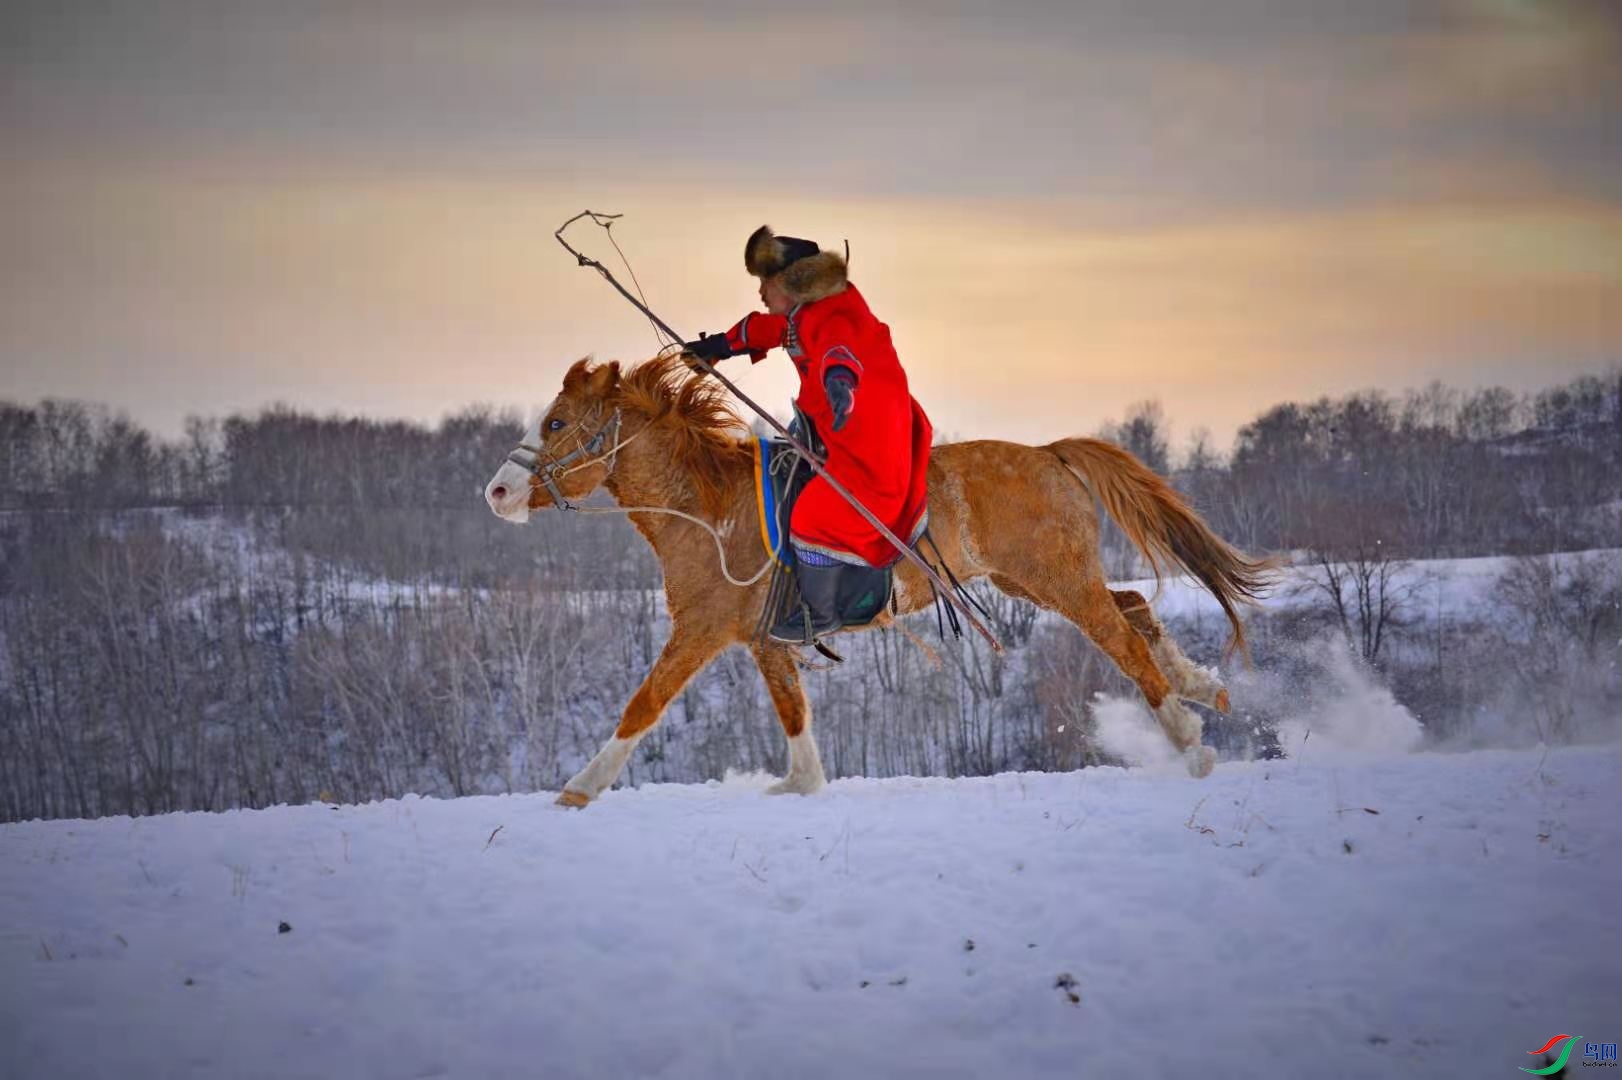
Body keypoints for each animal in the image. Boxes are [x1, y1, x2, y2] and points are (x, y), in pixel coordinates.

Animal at [486, 353, 1271, 797]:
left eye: (556, 423)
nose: (496, 491)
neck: (709, 507)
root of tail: (1050, 451)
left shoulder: (701, 631)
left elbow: (641, 707)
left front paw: (577, 790)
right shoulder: (764, 640)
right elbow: (794, 716)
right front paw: (800, 785)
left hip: (1058, 581)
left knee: (1125, 640)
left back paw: (1187, 736)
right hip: (1034, 580)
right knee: (1134, 604)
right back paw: (1203, 687)